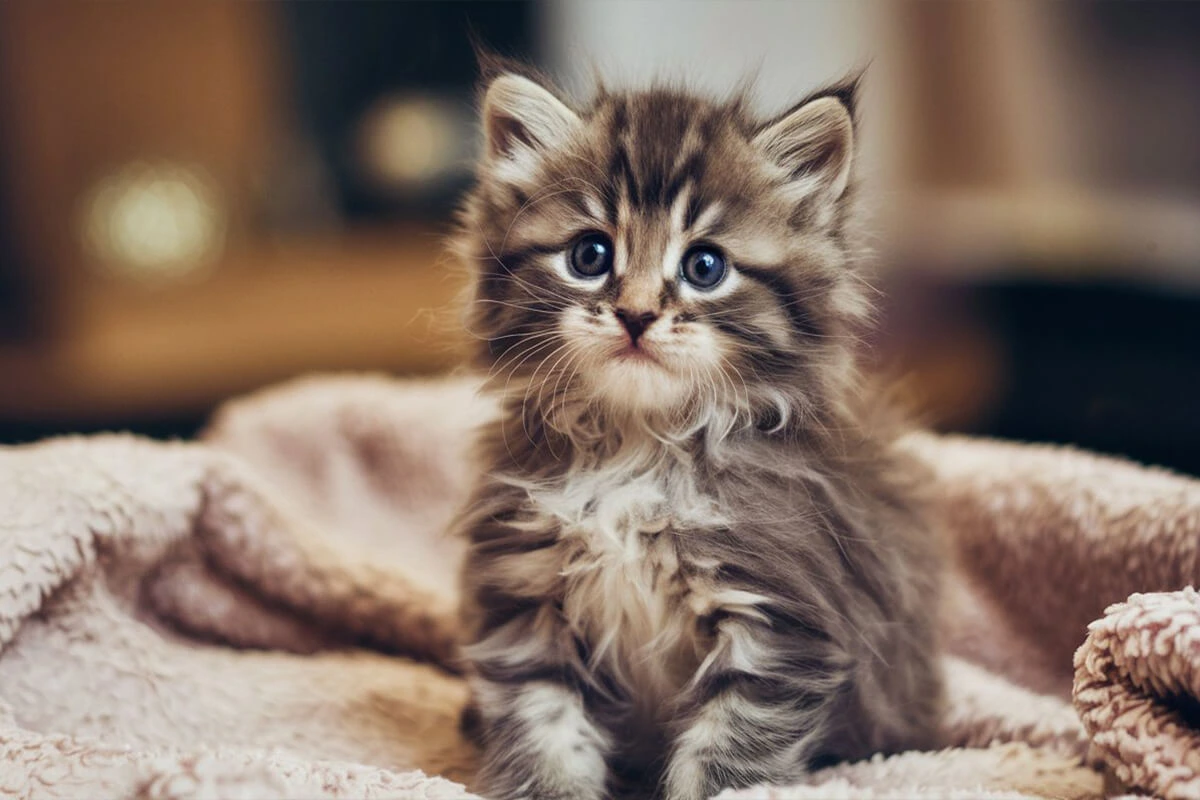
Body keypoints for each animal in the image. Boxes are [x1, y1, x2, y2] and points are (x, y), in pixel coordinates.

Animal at [451, 62, 945, 800]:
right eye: (590, 254)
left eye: (704, 267)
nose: (635, 315)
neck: (637, 447)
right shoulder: (527, 602)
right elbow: (544, 727)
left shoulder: (778, 618)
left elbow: (728, 756)